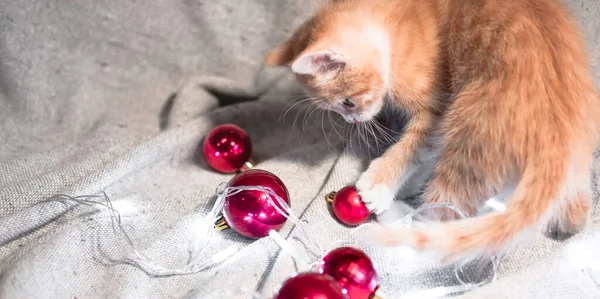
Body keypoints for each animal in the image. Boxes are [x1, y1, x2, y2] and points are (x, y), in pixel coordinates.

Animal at [266, 0, 600, 262]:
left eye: (347, 103)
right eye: (340, 109)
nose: (351, 121)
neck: (393, 23)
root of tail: (559, 134)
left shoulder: (438, 105)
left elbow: (414, 147)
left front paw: (379, 184)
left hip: (468, 134)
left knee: (441, 220)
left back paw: (397, 214)